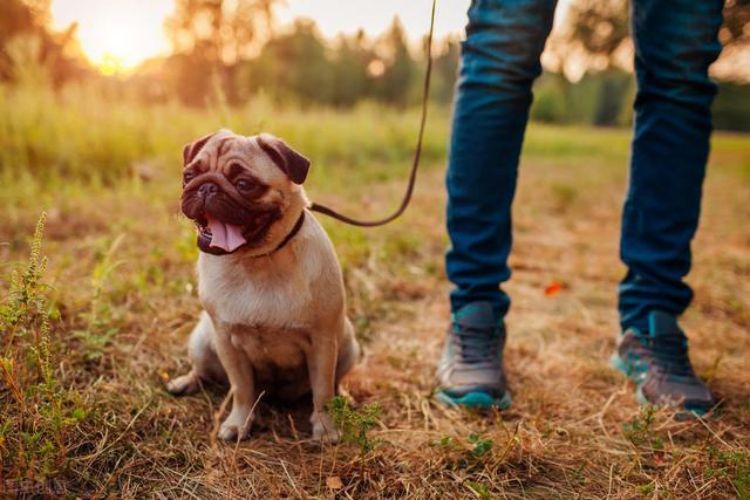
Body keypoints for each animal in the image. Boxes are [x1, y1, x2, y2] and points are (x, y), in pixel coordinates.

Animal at [167, 129, 362, 442]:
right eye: (189, 175)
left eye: (244, 184)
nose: (206, 187)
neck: (255, 261)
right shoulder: (227, 342)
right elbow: (241, 388)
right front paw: (240, 422)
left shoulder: (322, 341)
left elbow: (321, 390)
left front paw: (325, 428)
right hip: (201, 341)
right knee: (203, 371)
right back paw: (186, 382)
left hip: (347, 345)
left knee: (335, 381)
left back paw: (344, 398)